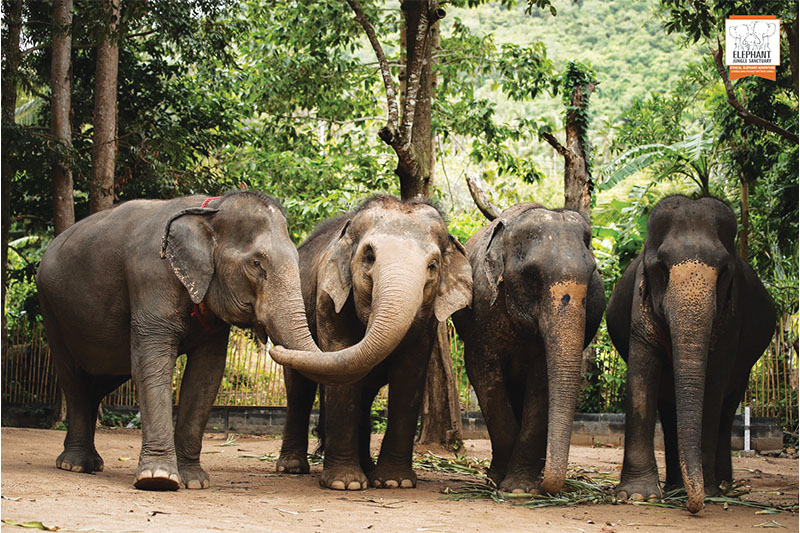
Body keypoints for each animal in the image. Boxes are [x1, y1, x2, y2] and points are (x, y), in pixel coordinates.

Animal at [36, 190, 338, 491]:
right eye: (256, 264)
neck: (209, 210)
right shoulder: (152, 277)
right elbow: (153, 363)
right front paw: (157, 479)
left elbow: (206, 374)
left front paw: (194, 480)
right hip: (51, 309)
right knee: (73, 377)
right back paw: (76, 465)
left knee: (100, 380)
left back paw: (88, 462)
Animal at [269, 195, 472, 490]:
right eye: (369, 256)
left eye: (433, 266)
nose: (275, 348)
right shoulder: (328, 299)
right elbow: (341, 356)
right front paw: (345, 484)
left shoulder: (428, 321)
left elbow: (409, 375)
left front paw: (395, 482)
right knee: (299, 391)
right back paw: (292, 468)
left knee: (363, 396)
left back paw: (367, 467)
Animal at [452, 203, 605, 495]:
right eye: (532, 275)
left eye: (592, 275)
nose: (546, 487)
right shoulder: (484, 309)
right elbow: (482, 371)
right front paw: (500, 482)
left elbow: (542, 381)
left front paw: (520, 488)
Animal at [606, 195, 775, 513]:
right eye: (661, 267)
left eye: (724, 270)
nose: (693, 506)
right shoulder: (639, 303)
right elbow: (641, 377)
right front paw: (637, 496)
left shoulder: (731, 319)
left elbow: (713, 385)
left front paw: (706, 492)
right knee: (668, 407)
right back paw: (676, 487)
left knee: (727, 406)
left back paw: (722, 486)